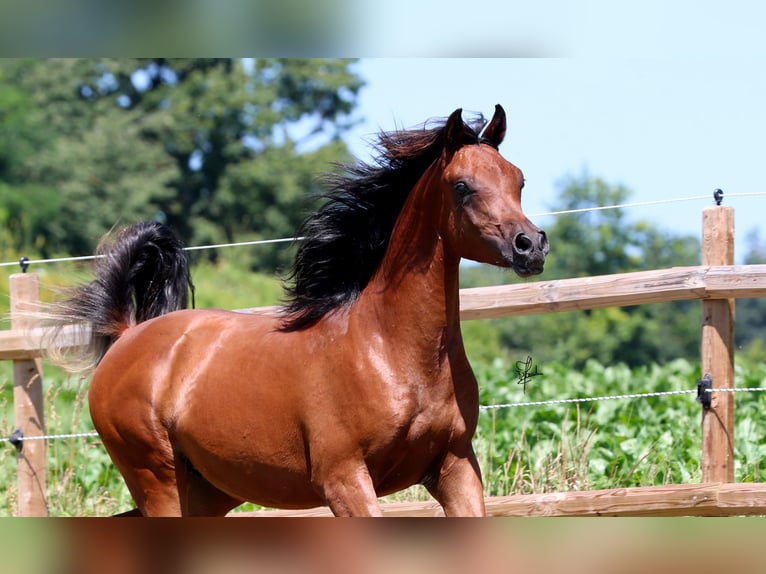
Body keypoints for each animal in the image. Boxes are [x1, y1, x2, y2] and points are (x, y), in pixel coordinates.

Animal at [52, 106, 544, 520]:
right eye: (461, 186)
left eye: (518, 181)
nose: (531, 246)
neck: (393, 351)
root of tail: (127, 335)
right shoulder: (343, 479)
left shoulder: (455, 468)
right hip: (157, 478)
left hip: (209, 491)